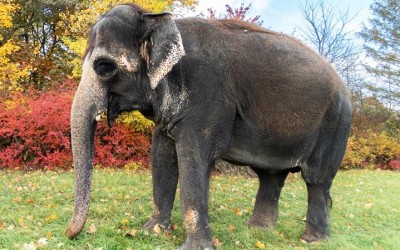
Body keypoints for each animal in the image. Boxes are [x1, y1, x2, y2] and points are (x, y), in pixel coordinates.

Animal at [66, 2, 354, 249]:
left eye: (104, 67)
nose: (70, 234)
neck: (160, 21)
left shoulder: (207, 94)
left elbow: (193, 157)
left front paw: (193, 247)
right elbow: (162, 155)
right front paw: (152, 231)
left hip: (336, 122)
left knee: (317, 180)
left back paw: (313, 240)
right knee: (270, 175)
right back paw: (258, 230)